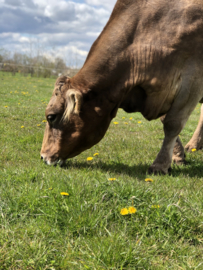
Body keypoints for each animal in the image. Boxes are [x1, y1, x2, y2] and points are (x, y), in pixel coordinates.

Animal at [40, 0, 203, 175]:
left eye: (51, 116)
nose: (43, 157)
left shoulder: (193, 78)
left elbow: (172, 124)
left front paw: (160, 165)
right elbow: (165, 119)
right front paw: (178, 156)